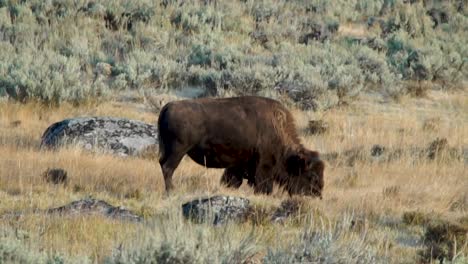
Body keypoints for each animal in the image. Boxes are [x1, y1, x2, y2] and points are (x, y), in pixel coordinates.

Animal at [157, 96, 326, 197]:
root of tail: (168, 106)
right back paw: (172, 191)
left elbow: (232, 181)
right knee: (168, 168)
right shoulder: (263, 167)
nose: (317, 195)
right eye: (311, 176)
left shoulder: (237, 166)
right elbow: (263, 185)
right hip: (178, 151)